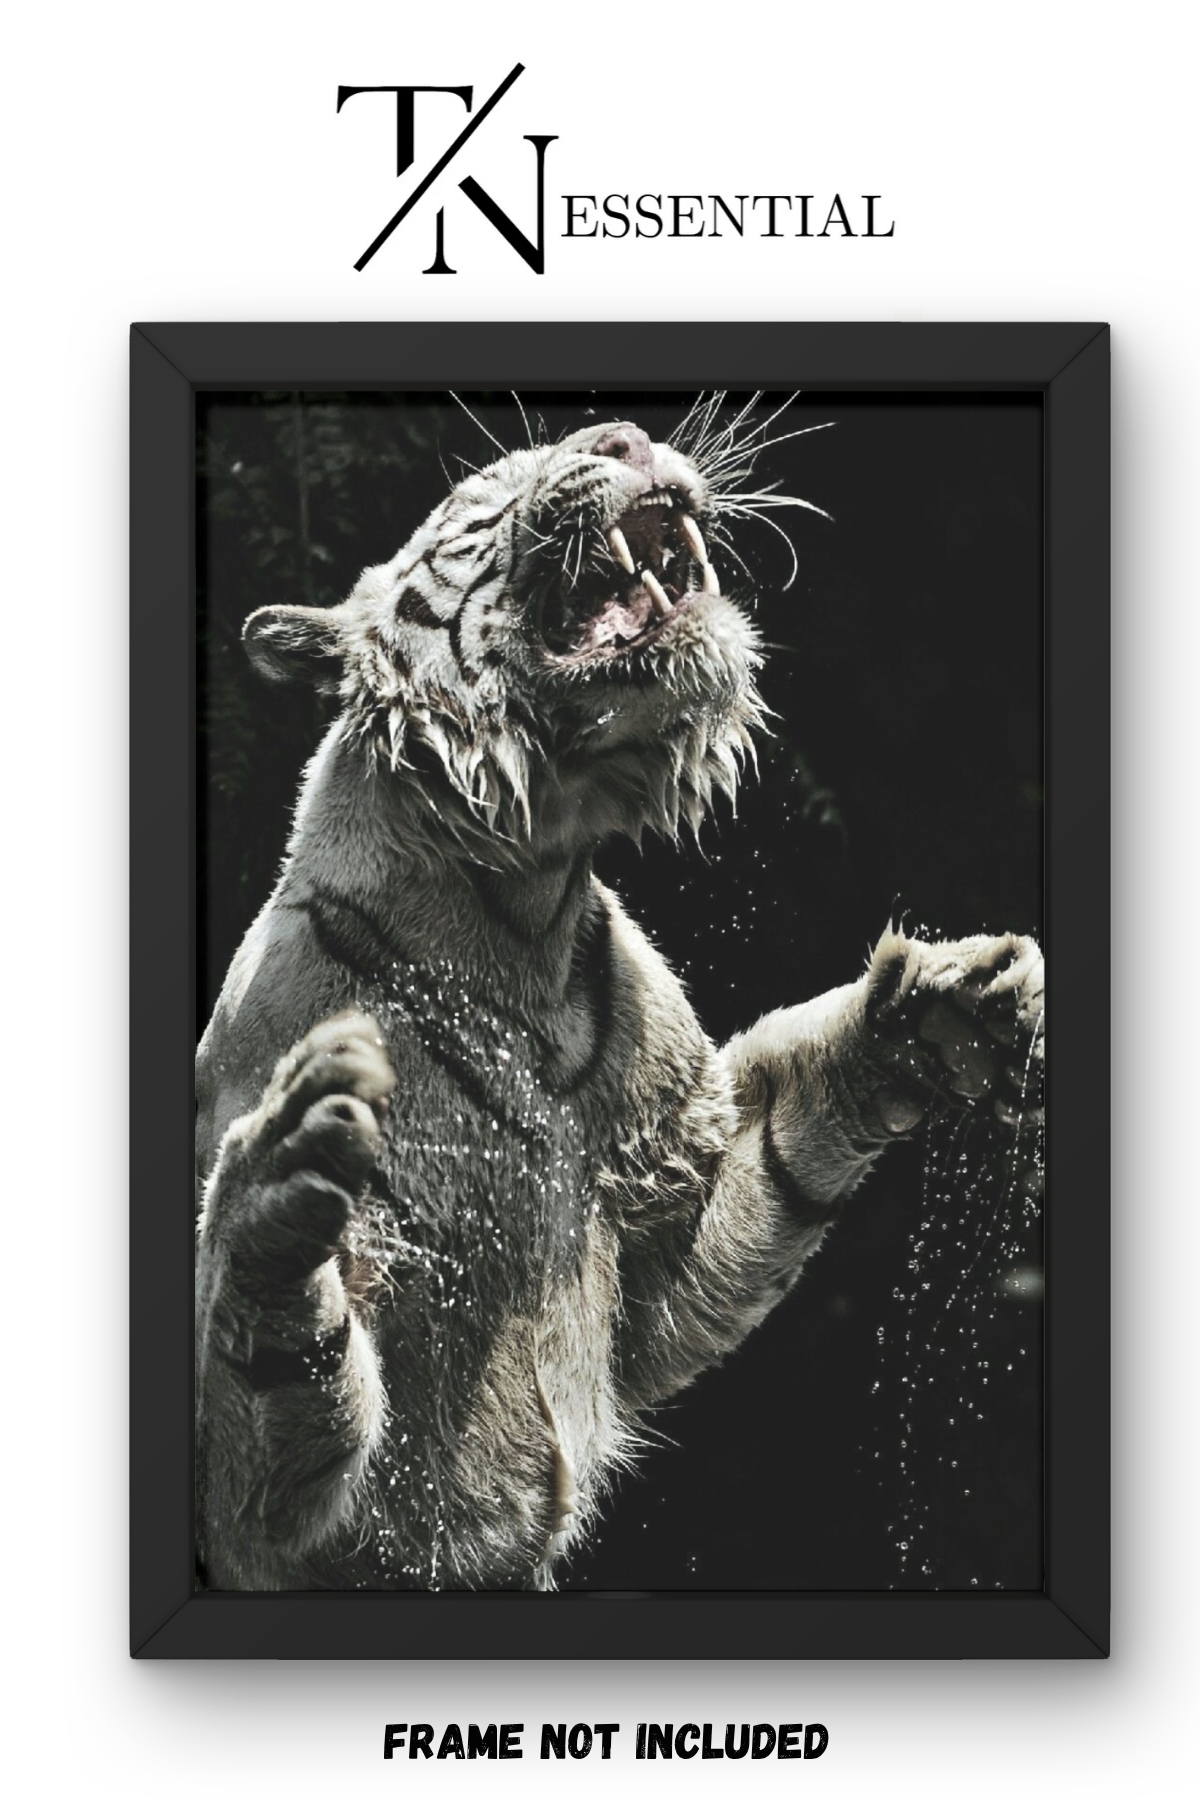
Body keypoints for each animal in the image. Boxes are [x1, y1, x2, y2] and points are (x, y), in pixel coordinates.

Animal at [195, 404, 1045, 1591]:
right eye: (484, 491)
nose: (625, 435)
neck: (523, 905)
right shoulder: (278, 1532)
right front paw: (281, 1181)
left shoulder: (662, 1205)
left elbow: (782, 1152)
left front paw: (941, 1010)